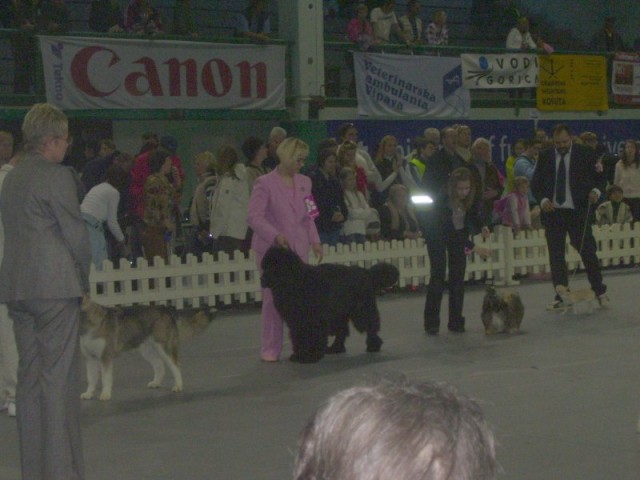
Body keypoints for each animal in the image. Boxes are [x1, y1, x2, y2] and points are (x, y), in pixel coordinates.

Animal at [79, 296, 215, 402]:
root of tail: (166, 309)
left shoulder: (105, 356)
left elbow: (105, 378)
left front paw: (105, 394)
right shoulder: (90, 359)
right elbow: (91, 378)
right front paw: (89, 393)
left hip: (163, 347)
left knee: (175, 365)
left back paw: (178, 386)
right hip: (147, 350)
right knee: (159, 365)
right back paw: (156, 383)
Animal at [260, 246, 400, 362]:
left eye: (273, 267)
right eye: (264, 266)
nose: (261, 279)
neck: (295, 281)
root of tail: (365, 272)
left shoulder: (313, 320)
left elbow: (312, 337)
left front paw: (311, 356)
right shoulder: (297, 322)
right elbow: (299, 337)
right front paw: (299, 355)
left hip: (361, 310)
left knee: (370, 326)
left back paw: (373, 345)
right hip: (339, 314)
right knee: (342, 332)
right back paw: (336, 348)